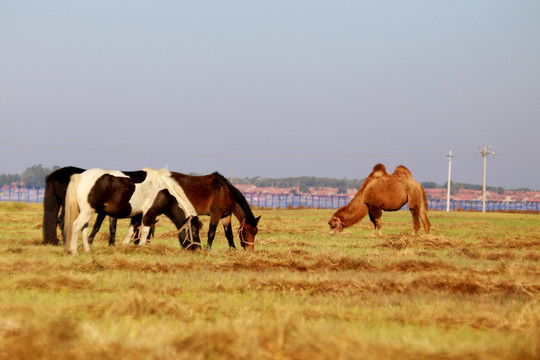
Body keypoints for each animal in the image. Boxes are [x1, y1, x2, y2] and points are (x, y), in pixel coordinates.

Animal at [63, 168, 201, 255]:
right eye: (195, 230)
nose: (198, 249)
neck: (163, 191)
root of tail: (80, 176)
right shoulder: (149, 214)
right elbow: (145, 231)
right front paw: (141, 248)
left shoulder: (137, 215)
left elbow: (130, 231)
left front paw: (124, 247)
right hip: (88, 211)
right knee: (76, 226)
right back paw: (74, 251)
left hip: (86, 212)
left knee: (84, 228)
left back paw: (86, 250)